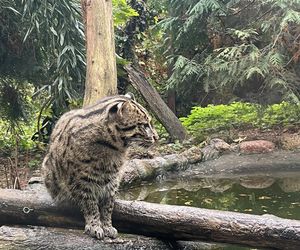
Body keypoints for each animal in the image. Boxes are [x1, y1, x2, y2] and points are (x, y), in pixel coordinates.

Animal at [42, 94, 159, 239]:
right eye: (144, 125)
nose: (157, 137)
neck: (113, 148)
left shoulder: (112, 180)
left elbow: (107, 206)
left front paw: (107, 225)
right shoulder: (81, 180)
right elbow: (90, 205)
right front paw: (94, 225)